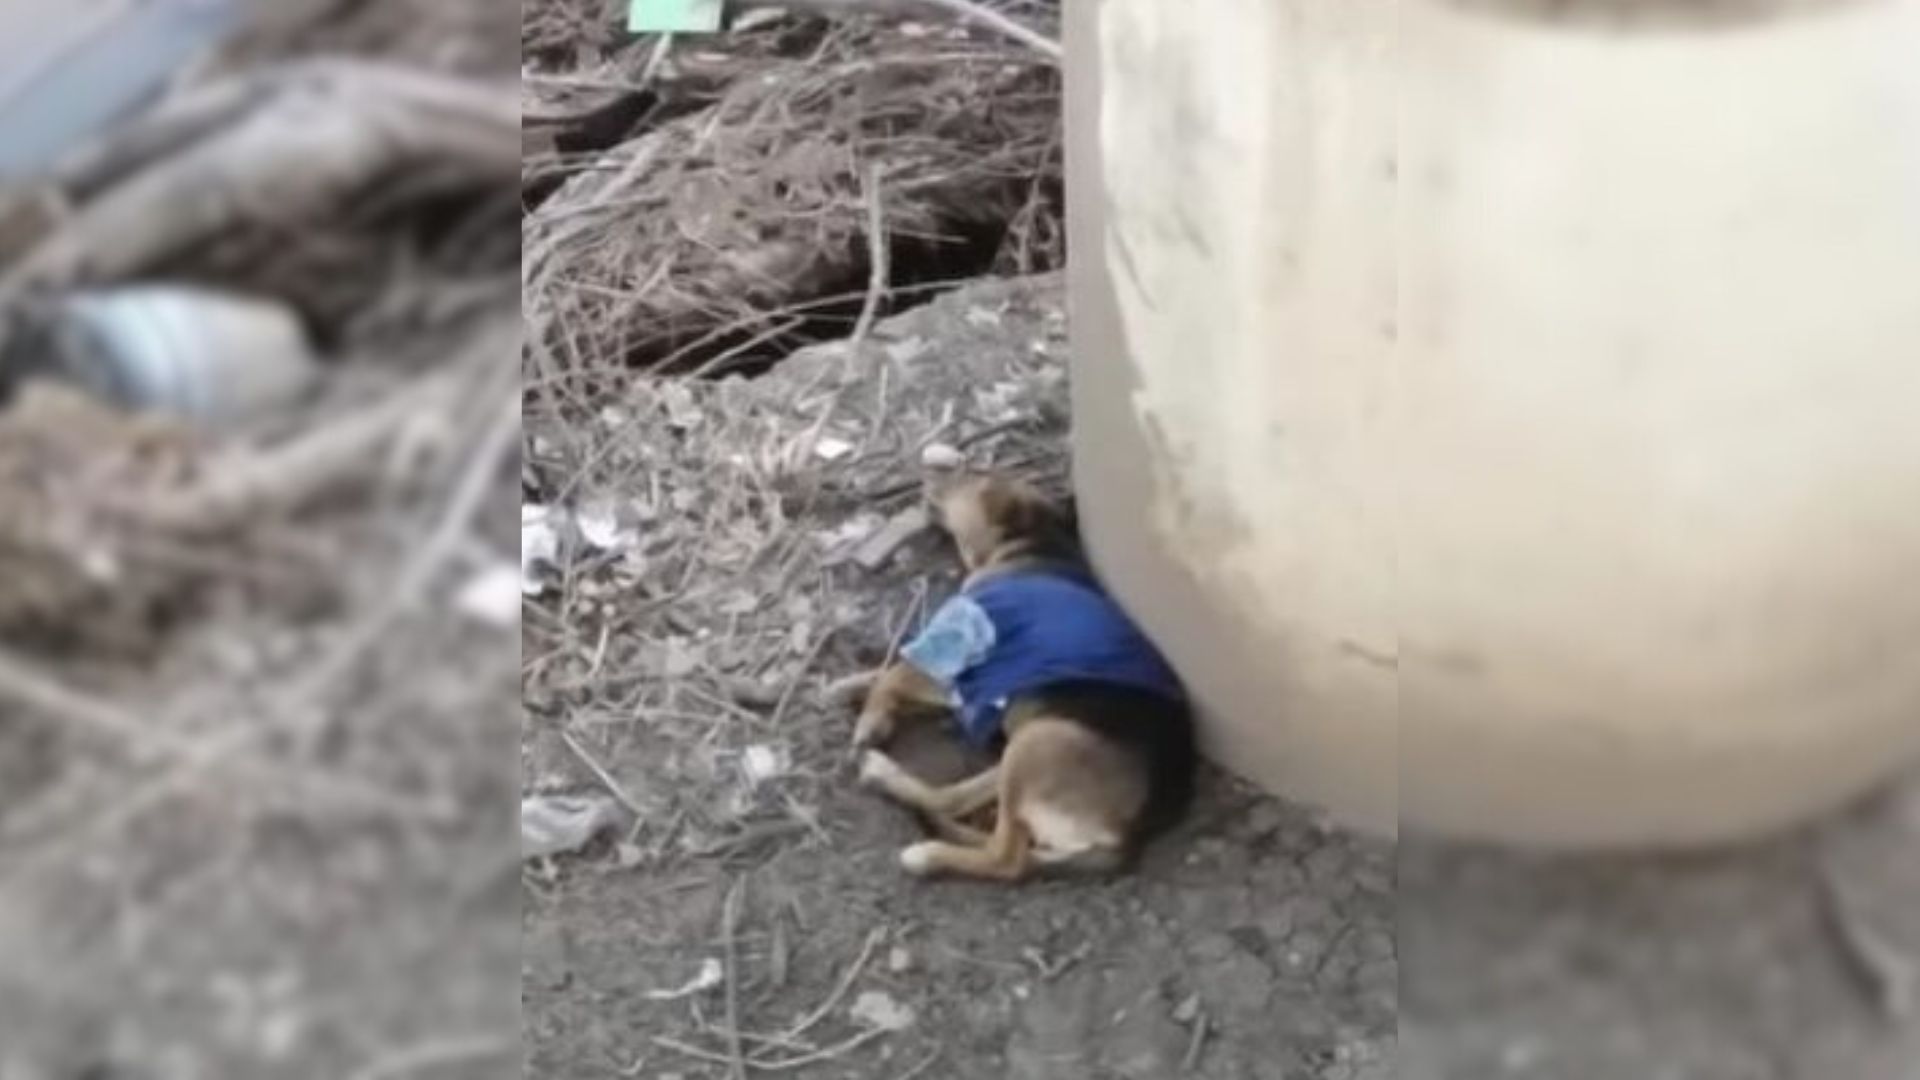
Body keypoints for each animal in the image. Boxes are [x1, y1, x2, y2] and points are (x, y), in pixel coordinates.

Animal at [852, 474, 1190, 880]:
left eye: (968, 475)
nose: (928, 477)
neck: (1029, 541)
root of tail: (1131, 832)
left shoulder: (964, 655)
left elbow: (893, 677)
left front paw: (871, 721)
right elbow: (886, 673)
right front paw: (847, 688)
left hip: (1036, 743)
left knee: (1003, 856)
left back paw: (924, 848)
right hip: (1022, 746)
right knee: (964, 803)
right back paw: (888, 779)